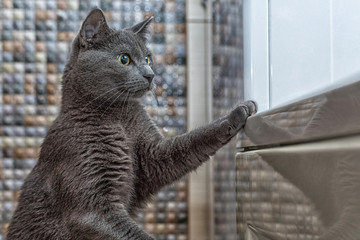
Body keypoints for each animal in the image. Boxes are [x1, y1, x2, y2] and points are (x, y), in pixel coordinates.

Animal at [7, 7, 256, 240]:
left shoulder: (153, 155)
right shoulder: (91, 208)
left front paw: (240, 111)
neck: (121, 118)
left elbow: (191, 142)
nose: (150, 75)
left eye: (147, 58)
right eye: (124, 59)